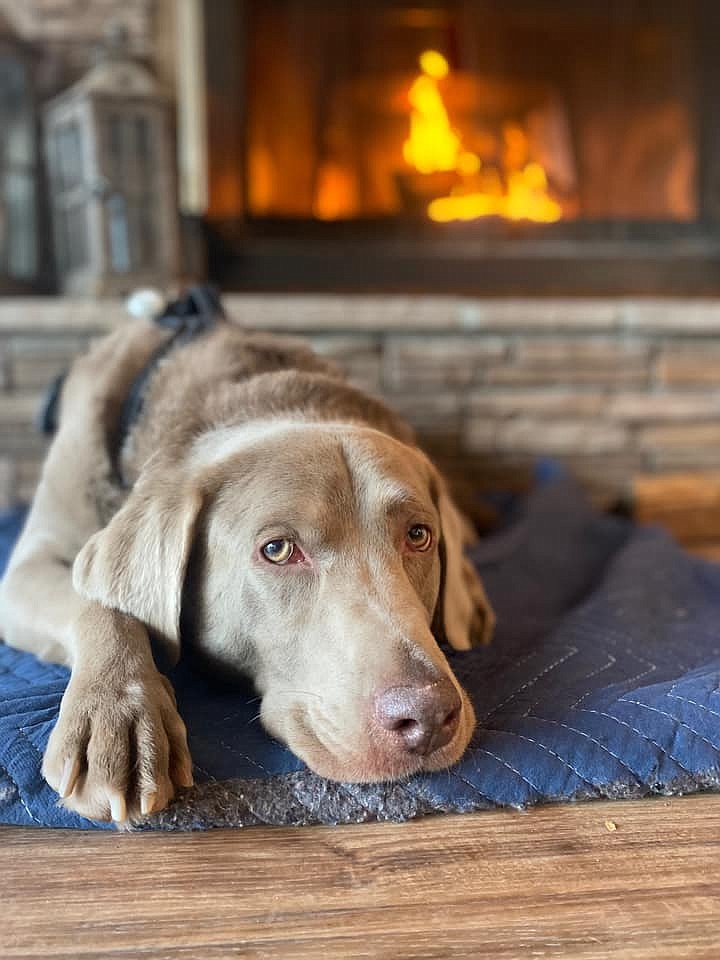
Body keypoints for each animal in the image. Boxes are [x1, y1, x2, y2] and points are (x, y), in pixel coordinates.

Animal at [0, 288, 496, 820]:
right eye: (277, 550)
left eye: (419, 536)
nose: (427, 716)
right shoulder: (25, 569)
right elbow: (96, 605)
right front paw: (117, 717)